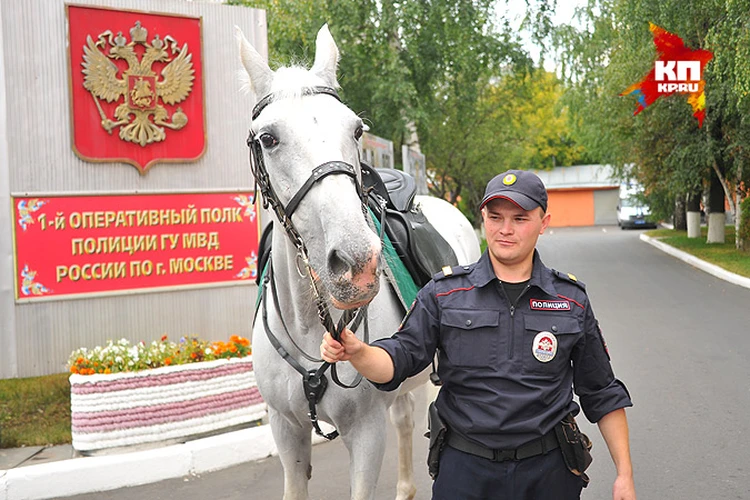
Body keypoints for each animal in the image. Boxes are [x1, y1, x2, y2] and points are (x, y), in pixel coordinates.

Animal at [236, 24, 482, 500]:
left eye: (355, 130)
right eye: (269, 138)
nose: (356, 263)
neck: (309, 326)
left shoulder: (366, 433)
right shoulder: (286, 429)